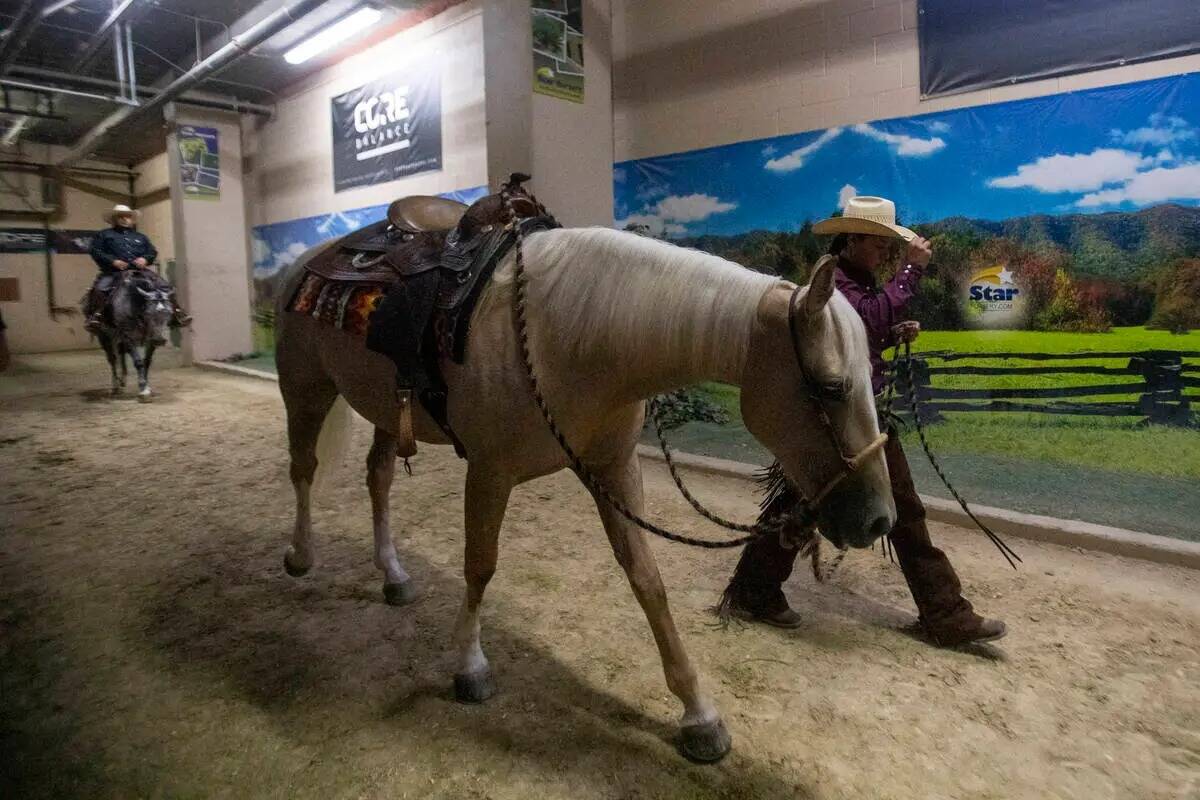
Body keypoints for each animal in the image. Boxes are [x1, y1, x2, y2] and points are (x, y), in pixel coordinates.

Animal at [90, 268, 174, 400]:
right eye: (149, 313)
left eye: (169, 313)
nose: (159, 340)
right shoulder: (128, 338)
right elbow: (138, 362)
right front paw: (143, 390)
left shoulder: (150, 341)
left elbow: (146, 362)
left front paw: (147, 386)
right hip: (104, 337)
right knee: (112, 359)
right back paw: (115, 387)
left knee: (120, 355)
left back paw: (122, 381)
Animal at [272, 226, 892, 762]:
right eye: (831, 387)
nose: (878, 521)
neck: (567, 338)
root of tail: (308, 261)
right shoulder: (489, 473)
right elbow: (480, 566)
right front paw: (470, 666)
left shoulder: (613, 470)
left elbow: (647, 580)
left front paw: (698, 714)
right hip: (306, 389)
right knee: (303, 469)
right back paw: (301, 555)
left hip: (383, 410)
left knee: (377, 478)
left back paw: (393, 575)